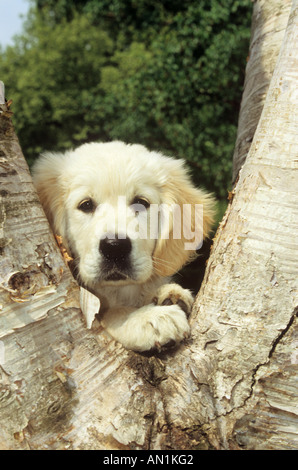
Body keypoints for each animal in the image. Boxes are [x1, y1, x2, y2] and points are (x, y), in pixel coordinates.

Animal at [32, 141, 214, 350]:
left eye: (141, 203)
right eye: (86, 205)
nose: (115, 247)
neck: (120, 290)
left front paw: (169, 294)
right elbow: (112, 312)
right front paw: (148, 317)